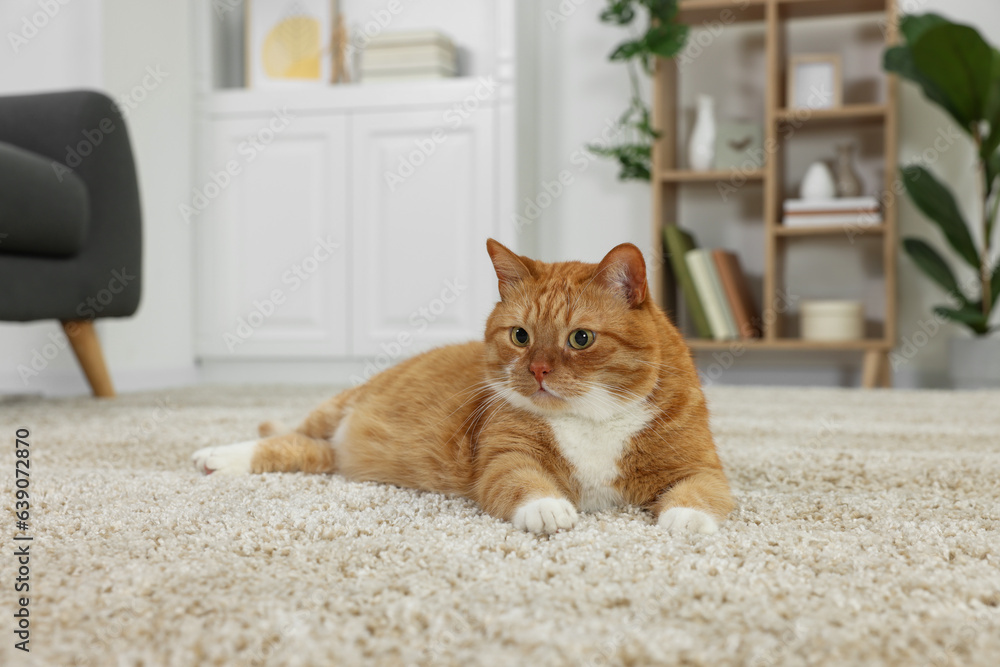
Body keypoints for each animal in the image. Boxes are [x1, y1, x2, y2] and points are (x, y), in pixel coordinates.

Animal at [191, 240, 736, 536]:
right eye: (520, 336)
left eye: (581, 338)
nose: (538, 370)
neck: (590, 420)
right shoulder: (503, 457)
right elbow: (522, 480)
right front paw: (547, 508)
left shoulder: (700, 465)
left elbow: (702, 490)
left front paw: (685, 517)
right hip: (333, 409)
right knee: (284, 436)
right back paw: (216, 455)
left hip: (332, 457)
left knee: (300, 449)